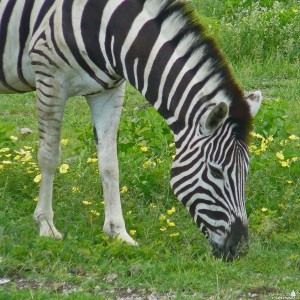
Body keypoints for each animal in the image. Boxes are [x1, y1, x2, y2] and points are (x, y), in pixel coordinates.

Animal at [0, 0, 262, 260]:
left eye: (246, 171)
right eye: (216, 172)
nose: (239, 249)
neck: (108, 27)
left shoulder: (108, 91)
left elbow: (109, 165)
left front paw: (118, 232)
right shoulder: (51, 78)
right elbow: (49, 157)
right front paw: (45, 225)